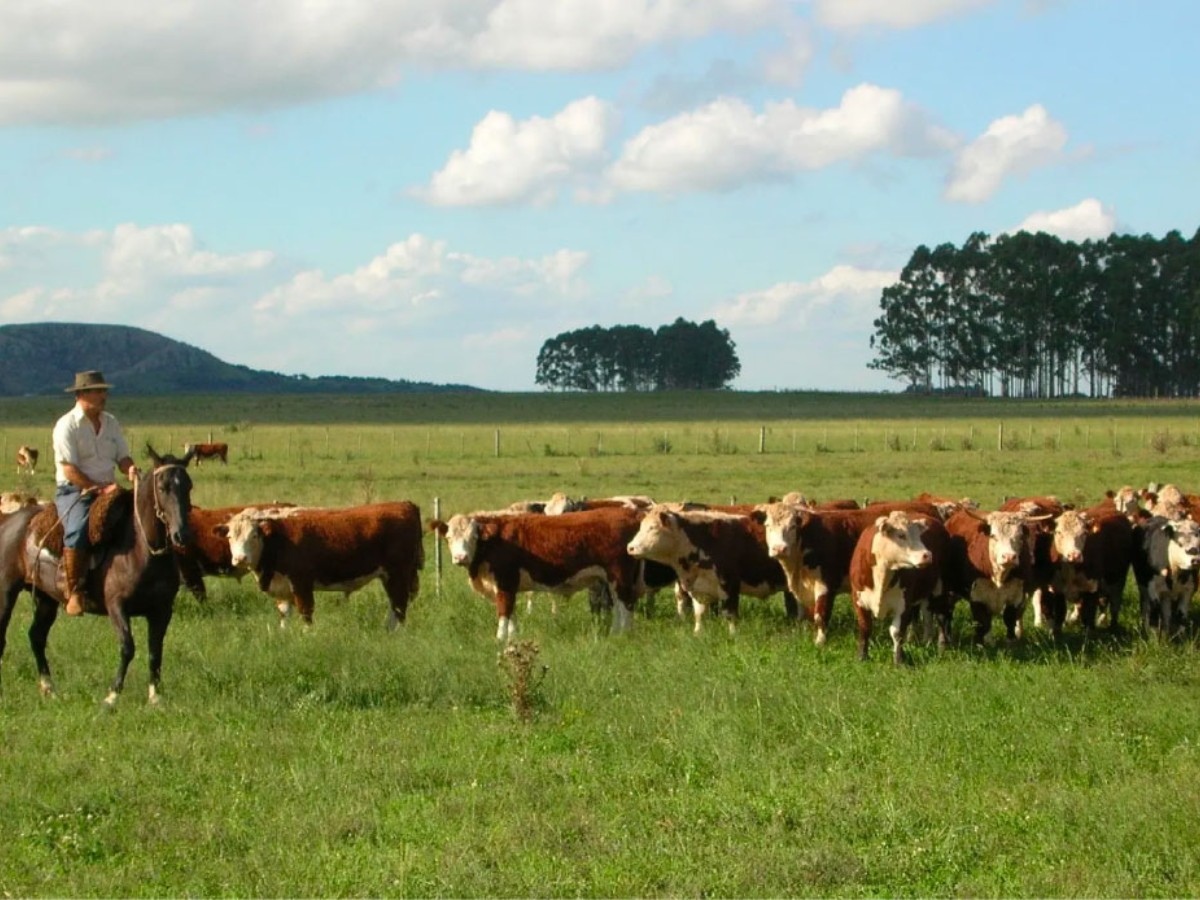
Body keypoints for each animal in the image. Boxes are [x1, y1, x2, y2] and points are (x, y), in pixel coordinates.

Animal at [220, 501, 423, 629]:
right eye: (230, 537)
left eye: (254, 536)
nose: (240, 558)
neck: (277, 538)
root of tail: (404, 504)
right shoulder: (282, 587)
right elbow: (284, 614)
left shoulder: (301, 583)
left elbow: (306, 613)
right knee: (395, 605)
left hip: (397, 573)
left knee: (399, 606)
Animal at [430, 506, 649, 643]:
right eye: (449, 538)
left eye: (473, 537)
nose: (461, 557)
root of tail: (631, 513)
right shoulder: (507, 586)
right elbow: (512, 612)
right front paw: (513, 638)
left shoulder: (505, 581)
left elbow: (504, 611)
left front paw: (499, 639)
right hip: (614, 579)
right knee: (620, 605)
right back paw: (615, 633)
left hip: (619, 575)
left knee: (625, 605)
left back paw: (622, 635)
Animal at [625, 505, 797, 634]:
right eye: (641, 527)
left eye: (653, 528)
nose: (630, 547)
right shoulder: (699, 588)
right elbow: (699, 613)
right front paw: (697, 633)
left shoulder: (729, 585)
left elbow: (730, 614)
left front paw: (733, 635)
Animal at [849, 511, 948, 664]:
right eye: (901, 535)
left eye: (919, 535)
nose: (927, 555)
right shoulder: (858, 599)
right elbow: (865, 627)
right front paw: (861, 657)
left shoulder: (904, 603)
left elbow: (897, 632)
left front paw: (899, 660)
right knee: (926, 615)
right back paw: (925, 641)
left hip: (940, 587)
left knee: (941, 616)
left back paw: (941, 647)